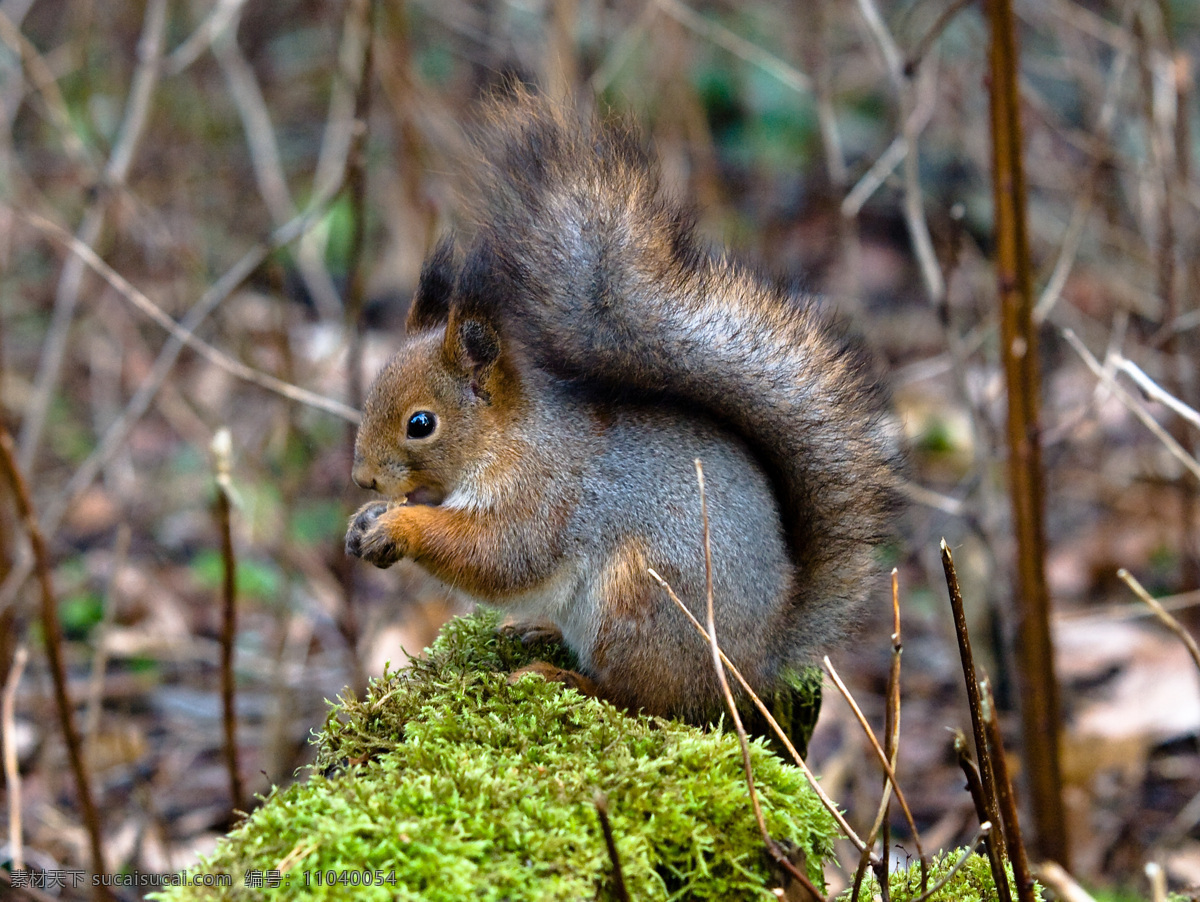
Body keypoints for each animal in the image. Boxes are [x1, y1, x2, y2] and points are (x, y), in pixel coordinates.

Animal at [348, 88, 902, 724]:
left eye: (421, 424)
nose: (362, 479)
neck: (508, 441)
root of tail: (756, 661)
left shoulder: (547, 498)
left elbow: (499, 556)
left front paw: (401, 525)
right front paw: (364, 521)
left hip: (639, 603)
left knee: (647, 700)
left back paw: (562, 676)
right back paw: (538, 632)